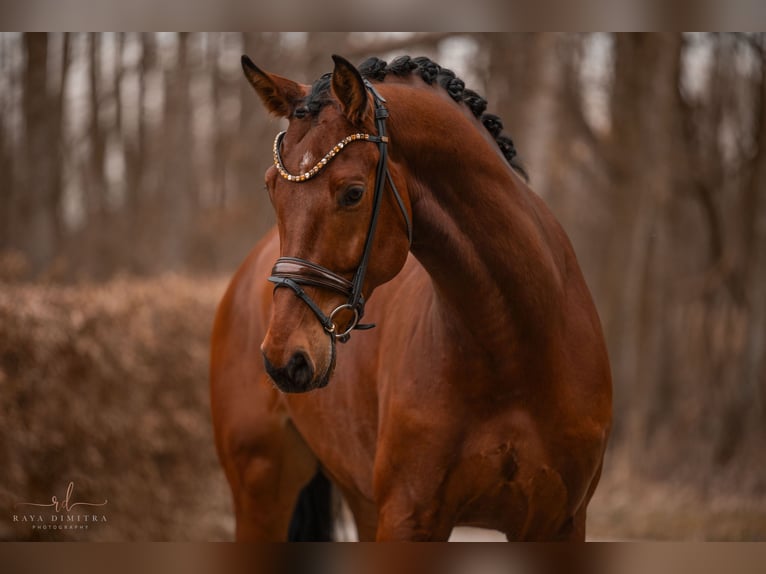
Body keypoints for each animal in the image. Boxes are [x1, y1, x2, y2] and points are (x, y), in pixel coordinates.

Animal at [208, 54, 612, 544]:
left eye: (353, 192)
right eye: (271, 188)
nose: (285, 359)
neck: (514, 350)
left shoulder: (559, 523)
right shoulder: (409, 516)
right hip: (262, 490)